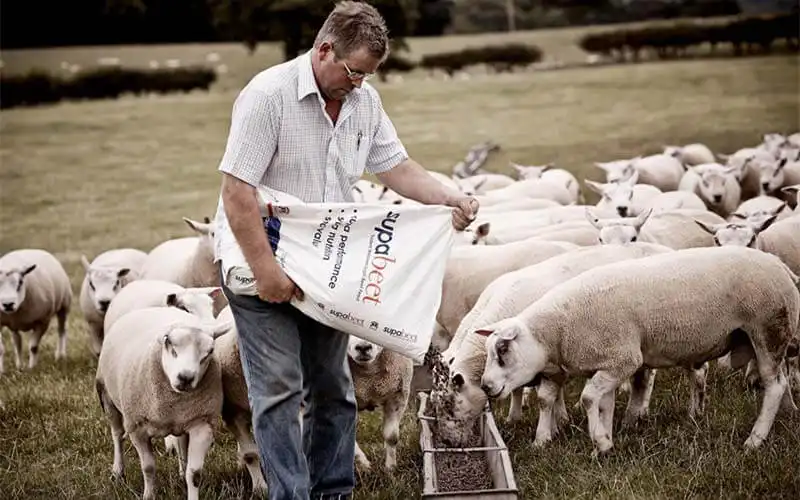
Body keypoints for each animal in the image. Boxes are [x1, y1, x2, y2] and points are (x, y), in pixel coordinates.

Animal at [95, 306, 231, 500]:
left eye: (209, 352)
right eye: (171, 346)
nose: (185, 378)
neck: (174, 400)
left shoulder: (201, 423)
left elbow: (195, 474)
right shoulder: (137, 427)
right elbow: (148, 467)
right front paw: (149, 495)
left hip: (183, 420)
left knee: (181, 442)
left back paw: (181, 473)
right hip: (107, 396)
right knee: (117, 435)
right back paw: (117, 472)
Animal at [478, 244, 796, 456]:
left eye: (502, 350)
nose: (485, 386)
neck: (558, 330)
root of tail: (781, 265)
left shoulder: (624, 358)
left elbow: (588, 397)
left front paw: (600, 441)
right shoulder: (607, 363)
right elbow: (603, 403)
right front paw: (604, 443)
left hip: (768, 327)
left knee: (775, 385)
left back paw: (755, 439)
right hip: (771, 335)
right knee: (782, 377)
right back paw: (789, 413)